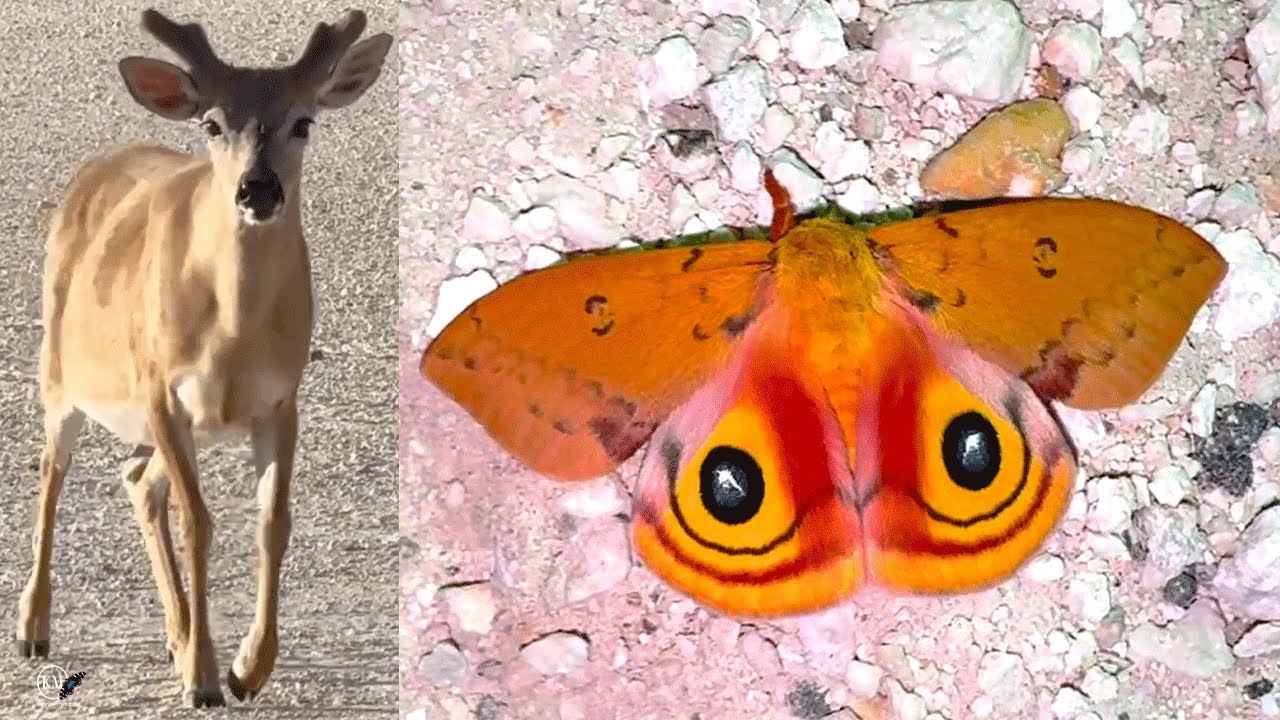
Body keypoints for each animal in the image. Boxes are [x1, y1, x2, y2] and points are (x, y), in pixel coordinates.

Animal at [16, 8, 391, 708]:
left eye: (304, 121)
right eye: (212, 124)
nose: (258, 189)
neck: (233, 337)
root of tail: (98, 165)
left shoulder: (282, 398)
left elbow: (273, 522)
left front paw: (247, 668)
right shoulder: (161, 385)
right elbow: (200, 520)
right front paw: (204, 678)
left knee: (137, 481)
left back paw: (177, 633)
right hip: (58, 367)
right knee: (54, 473)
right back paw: (34, 628)